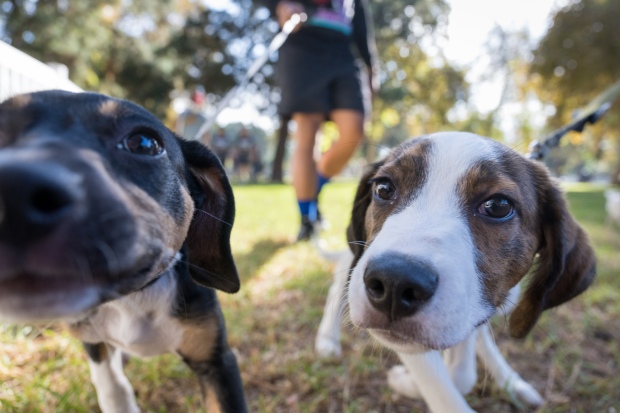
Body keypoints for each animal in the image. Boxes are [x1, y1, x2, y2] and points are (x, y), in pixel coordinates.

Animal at [0, 91, 247, 412]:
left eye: (143, 143)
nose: (12, 192)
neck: (134, 298)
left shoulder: (216, 362)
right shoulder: (92, 337)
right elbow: (111, 384)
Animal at [314, 132, 596, 412]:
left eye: (498, 205)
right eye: (384, 188)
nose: (394, 283)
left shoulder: (476, 306)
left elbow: (463, 367)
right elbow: (446, 383)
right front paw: (410, 381)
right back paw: (327, 339)